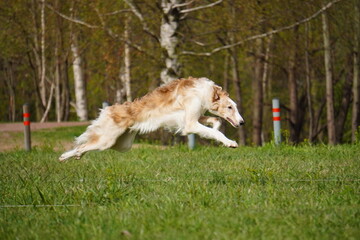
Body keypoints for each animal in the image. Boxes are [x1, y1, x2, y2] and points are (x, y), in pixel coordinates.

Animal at [59, 77, 245, 161]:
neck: (203, 92)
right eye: (230, 107)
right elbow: (216, 132)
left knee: (83, 147)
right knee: (81, 146)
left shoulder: (195, 118)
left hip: (122, 144)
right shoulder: (190, 124)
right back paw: (65, 156)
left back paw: (72, 156)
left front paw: (217, 131)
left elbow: (216, 122)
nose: (242, 122)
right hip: (107, 140)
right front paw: (230, 143)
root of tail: (109, 109)